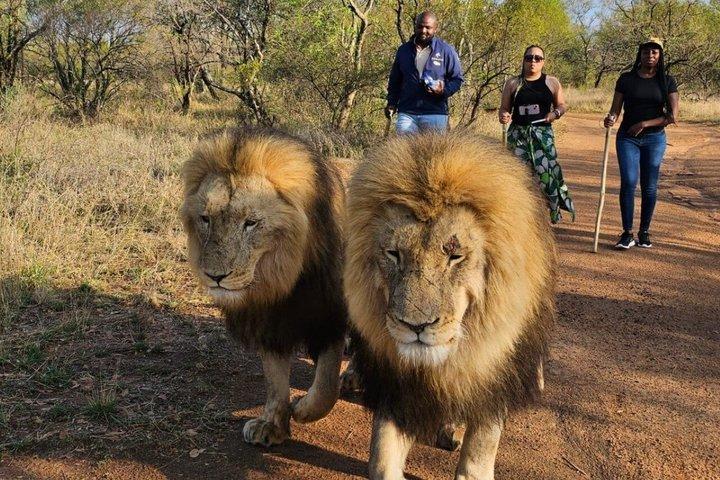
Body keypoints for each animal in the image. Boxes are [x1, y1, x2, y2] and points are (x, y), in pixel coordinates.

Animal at [181, 128, 347, 447]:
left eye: (251, 222)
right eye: (205, 219)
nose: (214, 276)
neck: (284, 280)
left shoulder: (329, 316)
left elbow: (326, 385)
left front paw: (304, 410)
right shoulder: (269, 321)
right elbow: (275, 380)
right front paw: (272, 425)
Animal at [344, 132, 556, 479]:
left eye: (455, 256)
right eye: (393, 254)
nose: (416, 326)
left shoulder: (493, 384)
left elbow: (476, 461)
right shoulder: (397, 390)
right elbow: (381, 462)